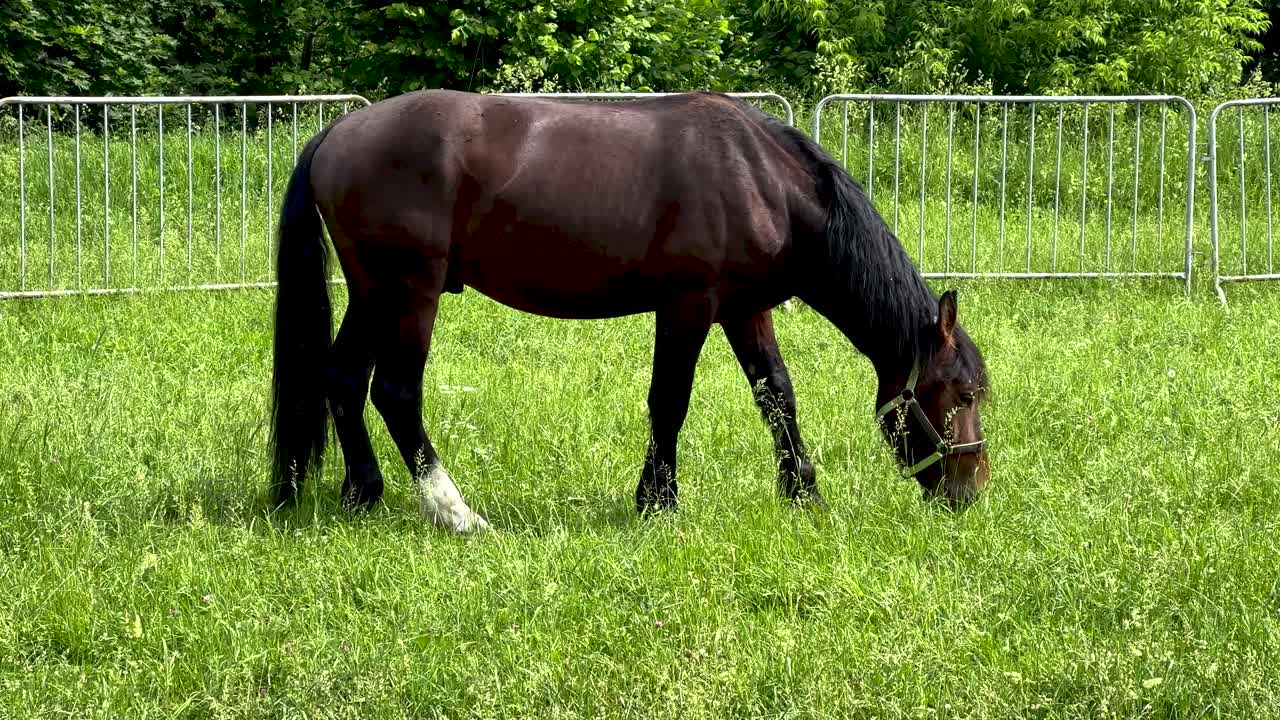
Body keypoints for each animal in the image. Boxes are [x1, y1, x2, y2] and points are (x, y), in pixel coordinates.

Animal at [267, 89, 990, 532]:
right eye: (960, 395)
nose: (971, 491)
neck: (762, 179)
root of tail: (338, 131)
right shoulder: (689, 305)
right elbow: (670, 400)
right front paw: (657, 501)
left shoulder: (744, 310)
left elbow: (776, 395)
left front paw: (803, 493)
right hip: (410, 291)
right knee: (395, 391)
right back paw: (455, 512)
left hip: (371, 292)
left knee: (341, 379)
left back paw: (362, 492)